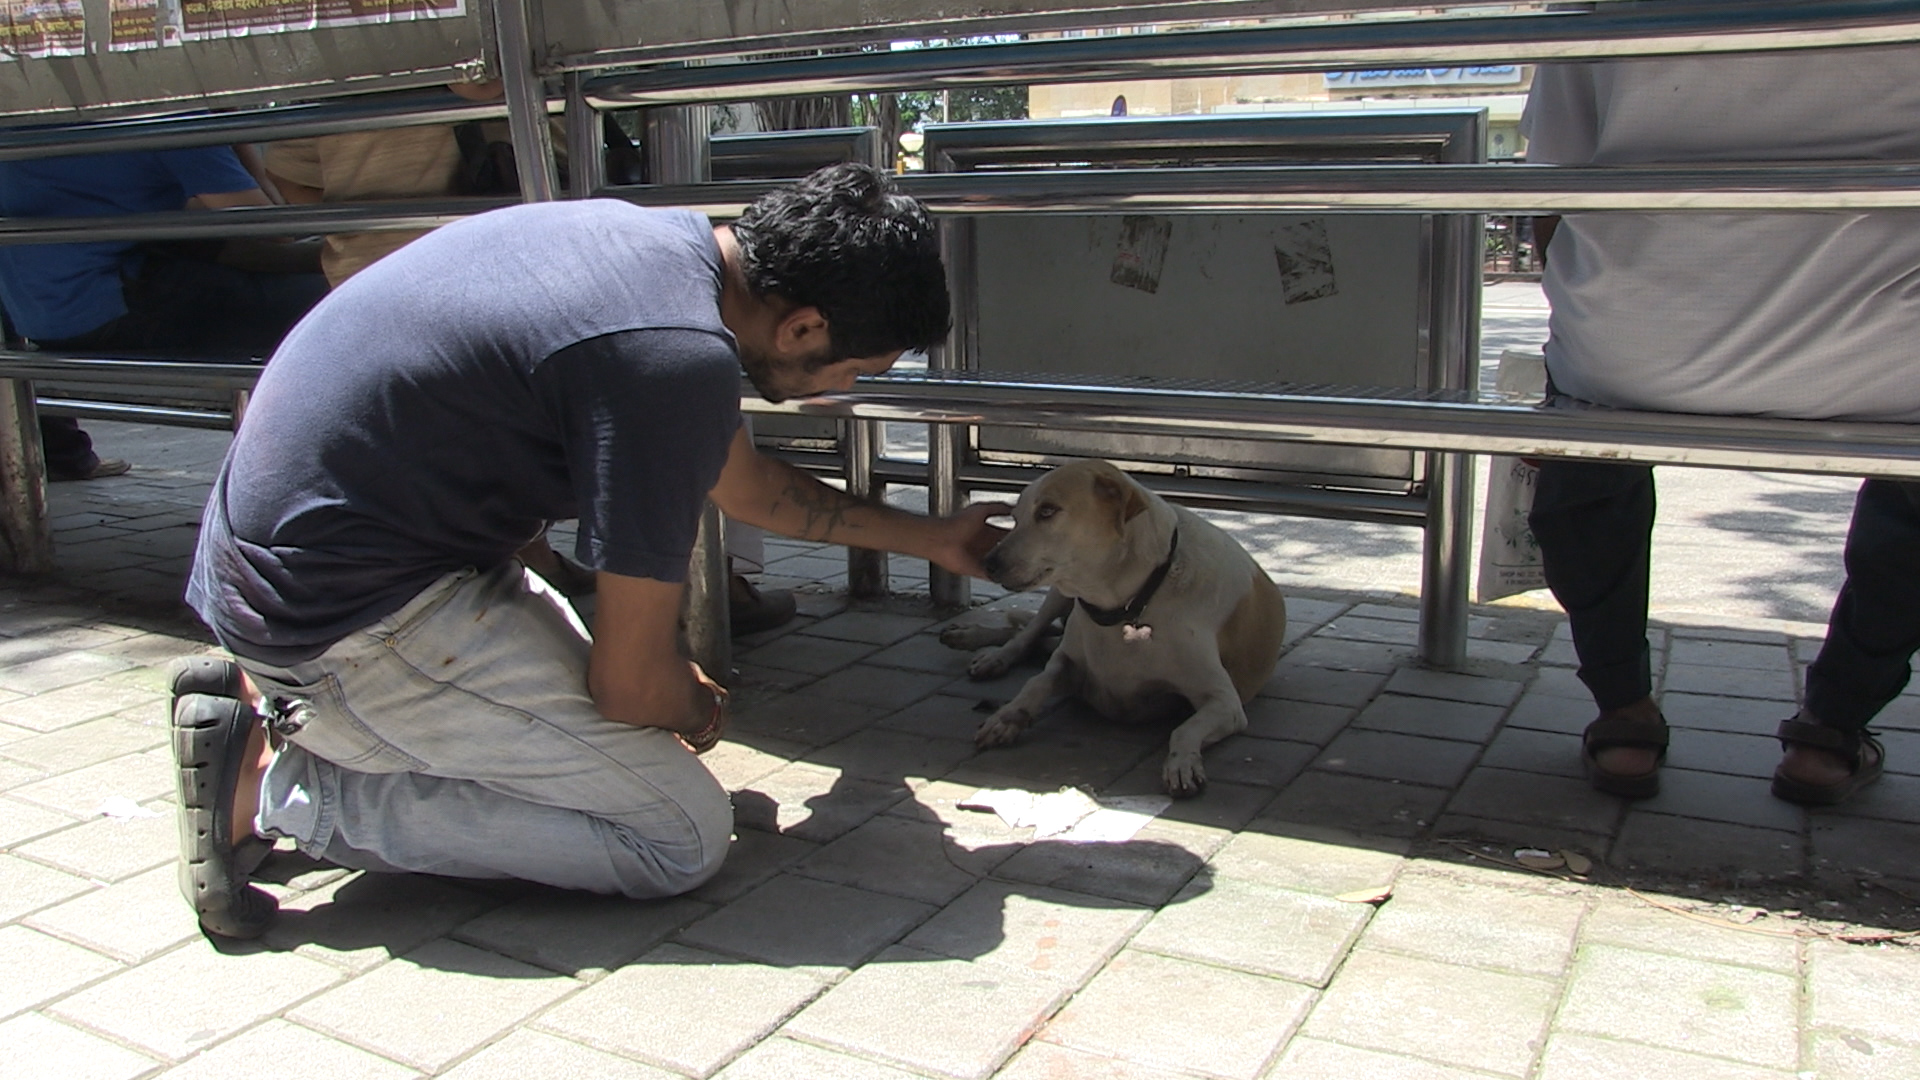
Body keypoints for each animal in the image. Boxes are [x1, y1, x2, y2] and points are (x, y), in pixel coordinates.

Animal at [948, 457, 1282, 795]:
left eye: (1047, 511)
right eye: (1014, 518)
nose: (988, 563)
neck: (1129, 603)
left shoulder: (1225, 703)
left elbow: (1184, 729)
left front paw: (1182, 763)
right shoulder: (1067, 662)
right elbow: (1035, 683)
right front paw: (1006, 717)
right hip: (1057, 595)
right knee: (1028, 634)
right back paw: (987, 651)